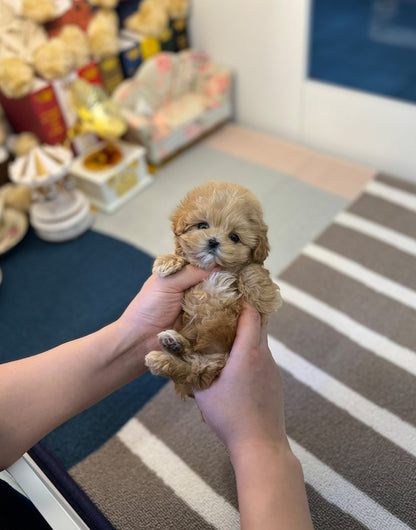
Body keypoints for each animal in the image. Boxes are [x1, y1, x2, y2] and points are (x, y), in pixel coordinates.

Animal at [145, 180, 282, 396]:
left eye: (234, 237)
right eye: (202, 226)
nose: (213, 241)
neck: (213, 269)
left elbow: (250, 269)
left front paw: (262, 296)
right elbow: (181, 257)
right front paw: (166, 262)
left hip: (215, 362)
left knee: (194, 371)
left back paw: (167, 351)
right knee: (190, 370)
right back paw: (167, 350)